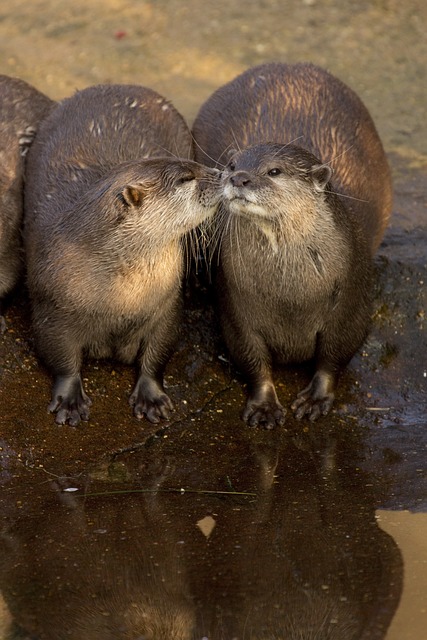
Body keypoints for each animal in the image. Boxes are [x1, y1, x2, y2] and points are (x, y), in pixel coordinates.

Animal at [24, 84, 221, 424]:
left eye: (196, 164)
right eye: (186, 178)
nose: (224, 173)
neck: (121, 298)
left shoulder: (166, 305)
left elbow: (159, 352)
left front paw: (151, 396)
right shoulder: (52, 310)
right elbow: (60, 357)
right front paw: (69, 401)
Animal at [194, 62, 394, 428]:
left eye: (274, 171)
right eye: (231, 165)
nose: (239, 177)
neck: (290, 296)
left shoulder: (350, 301)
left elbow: (334, 354)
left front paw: (316, 398)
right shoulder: (237, 309)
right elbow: (251, 357)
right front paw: (264, 405)